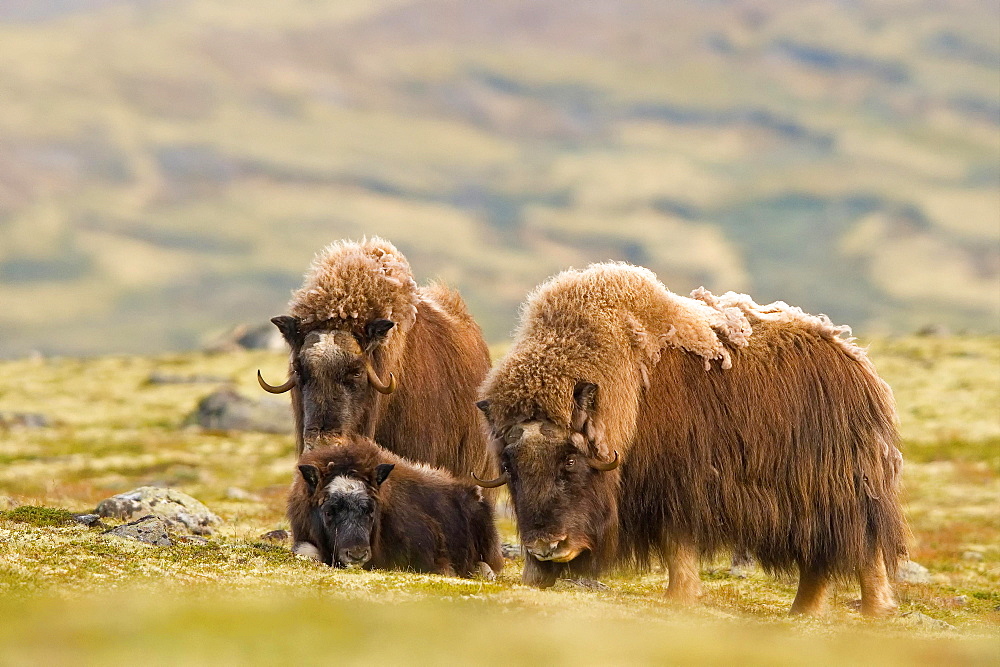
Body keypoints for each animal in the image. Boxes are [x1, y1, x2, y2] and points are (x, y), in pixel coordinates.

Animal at [476, 264, 908, 620]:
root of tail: (856, 360)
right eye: (510, 468)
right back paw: (804, 611)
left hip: (837, 491)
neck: (625, 394)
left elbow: (677, 544)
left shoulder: (677, 486)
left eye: (569, 461)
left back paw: (873, 610)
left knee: (862, 549)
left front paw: (679, 598)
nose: (545, 547)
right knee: (819, 558)